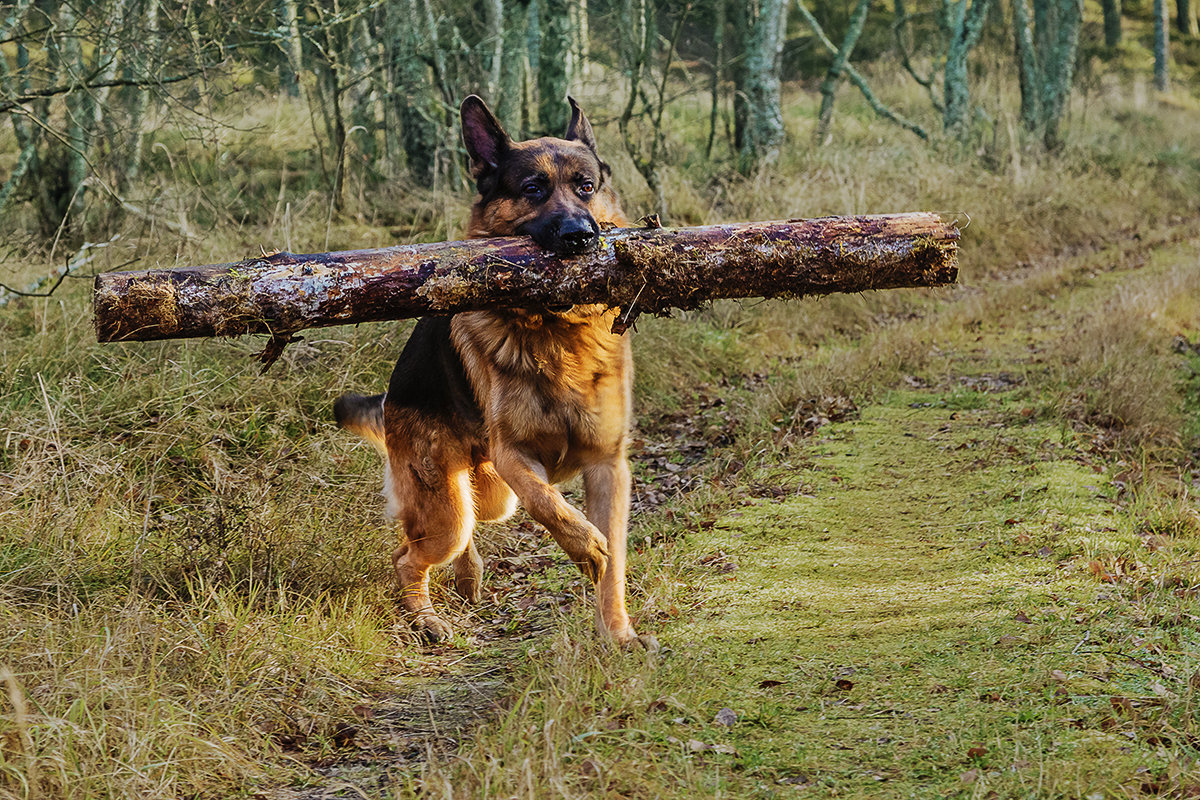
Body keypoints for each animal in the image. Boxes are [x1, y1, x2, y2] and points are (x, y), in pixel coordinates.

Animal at [333, 97, 657, 652]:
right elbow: (551, 506)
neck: (554, 329)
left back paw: (468, 576)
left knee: (446, 535)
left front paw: (617, 633)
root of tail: (391, 398)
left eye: (586, 186)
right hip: (452, 509)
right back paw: (426, 617)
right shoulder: (514, 455)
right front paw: (584, 545)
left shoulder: (608, 466)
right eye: (533, 189)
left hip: (489, 498)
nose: (581, 237)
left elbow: (614, 565)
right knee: (409, 553)